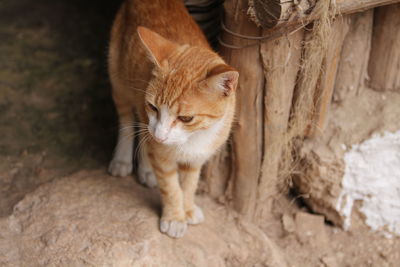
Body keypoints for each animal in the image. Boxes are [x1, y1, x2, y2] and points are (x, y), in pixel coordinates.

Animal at [108, 0, 238, 239]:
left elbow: (189, 184)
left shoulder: (196, 158)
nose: (160, 135)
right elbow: (171, 187)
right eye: (153, 106)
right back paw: (123, 159)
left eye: (186, 118)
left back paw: (146, 169)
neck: (194, 138)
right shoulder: (162, 154)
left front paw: (187, 209)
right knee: (127, 122)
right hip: (118, 81)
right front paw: (175, 218)